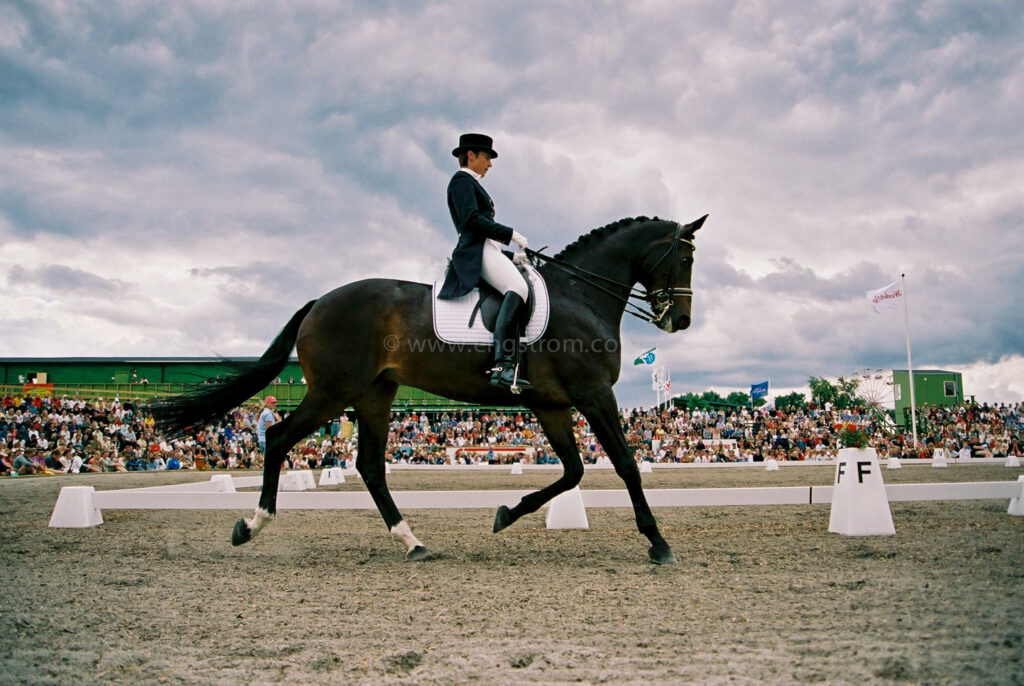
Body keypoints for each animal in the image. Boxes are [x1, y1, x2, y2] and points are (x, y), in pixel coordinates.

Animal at [151, 215, 708, 565]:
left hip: (374, 395)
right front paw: (658, 543)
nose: (679, 320)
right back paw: (252, 525)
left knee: (370, 467)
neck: (580, 295)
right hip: (333, 392)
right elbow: (625, 464)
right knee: (279, 438)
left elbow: (572, 472)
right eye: (683, 259)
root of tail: (318, 302)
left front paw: (506, 514)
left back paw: (411, 541)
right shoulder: (593, 395)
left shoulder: (550, 403)